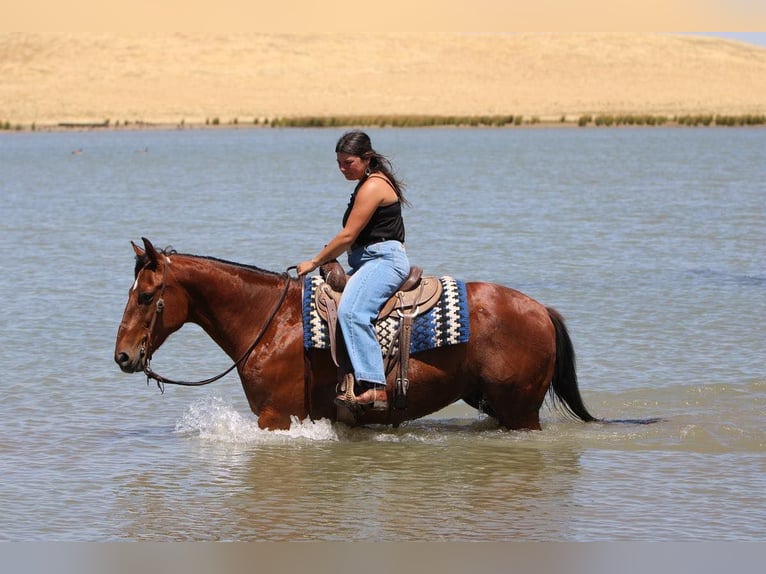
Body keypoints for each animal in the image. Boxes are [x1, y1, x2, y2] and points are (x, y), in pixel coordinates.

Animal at [117, 238, 604, 432]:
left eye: (146, 295)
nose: (122, 356)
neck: (270, 321)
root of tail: (541, 311)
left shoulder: (277, 417)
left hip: (520, 412)